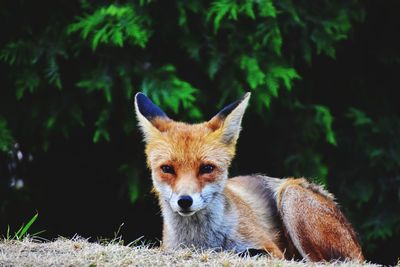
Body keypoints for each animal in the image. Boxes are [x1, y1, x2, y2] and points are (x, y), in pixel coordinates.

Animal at [133, 91, 364, 262]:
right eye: (167, 169)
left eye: (207, 168)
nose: (184, 201)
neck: (202, 242)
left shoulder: (273, 250)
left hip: (291, 196)